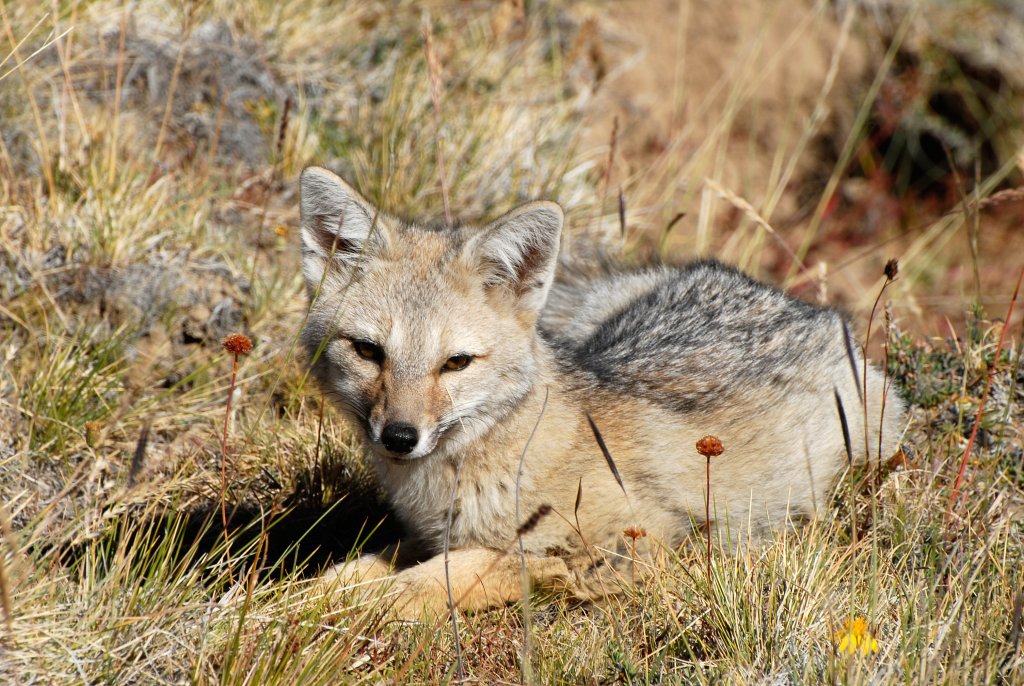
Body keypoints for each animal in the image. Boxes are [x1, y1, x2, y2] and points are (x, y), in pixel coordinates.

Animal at [296, 164, 905, 618]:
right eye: (368, 351)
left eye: (456, 363)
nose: (400, 437)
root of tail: (802, 304)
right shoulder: (428, 534)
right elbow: (360, 567)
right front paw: (299, 596)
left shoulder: (639, 538)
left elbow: (442, 576)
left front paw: (339, 611)